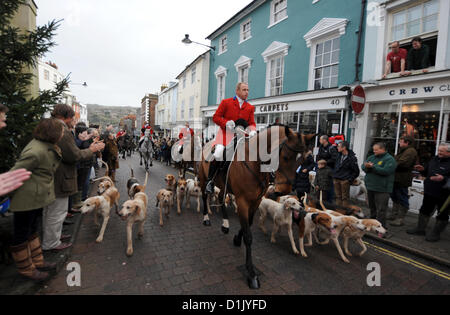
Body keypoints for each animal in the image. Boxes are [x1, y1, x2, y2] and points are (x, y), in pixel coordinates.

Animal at [197, 124, 316, 290]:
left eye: (303, 160)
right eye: (286, 157)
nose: (285, 189)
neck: (255, 163)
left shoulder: (256, 201)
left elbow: (249, 223)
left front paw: (236, 238)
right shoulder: (242, 201)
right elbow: (248, 236)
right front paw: (251, 273)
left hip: (223, 185)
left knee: (221, 198)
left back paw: (225, 225)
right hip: (203, 179)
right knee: (204, 195)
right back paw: (206, 218)